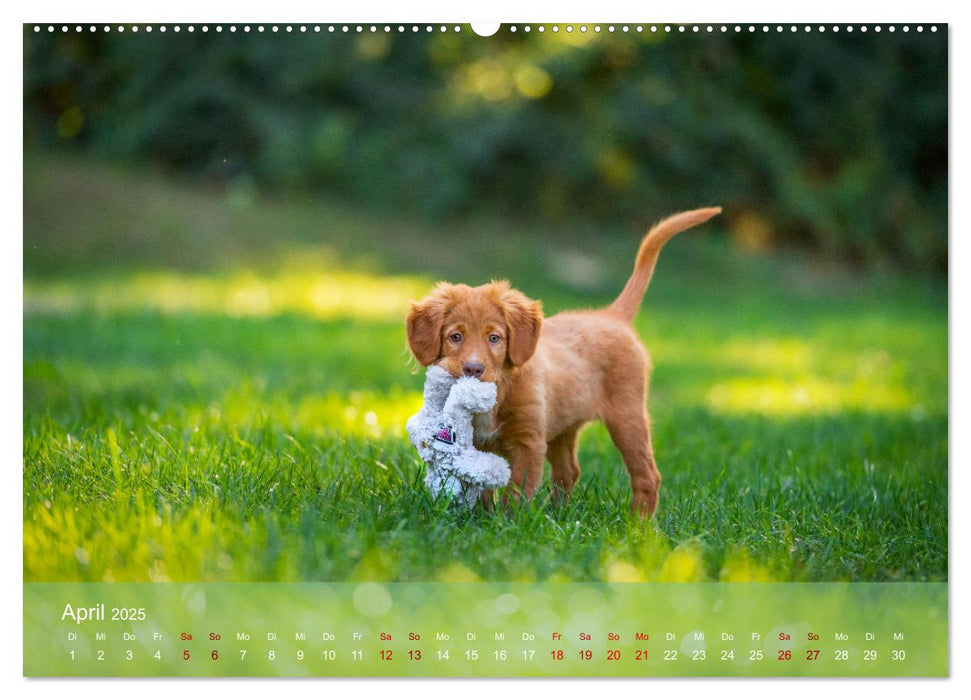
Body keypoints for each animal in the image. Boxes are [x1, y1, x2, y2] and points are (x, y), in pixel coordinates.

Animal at [404, 206, 720, 516]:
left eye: (494, 338)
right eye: (455, 337)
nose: (473, 368)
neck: (501, 390)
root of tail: (611, 316)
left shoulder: (529, 442)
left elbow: (516, 492)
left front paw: (507, 523)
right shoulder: (485, 445)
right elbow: (485, 486)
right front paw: (482, 516)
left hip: (628, 415)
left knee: (647, 475)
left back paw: (638, 524)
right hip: (565, 427)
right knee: (569, 471)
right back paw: (558, 513)